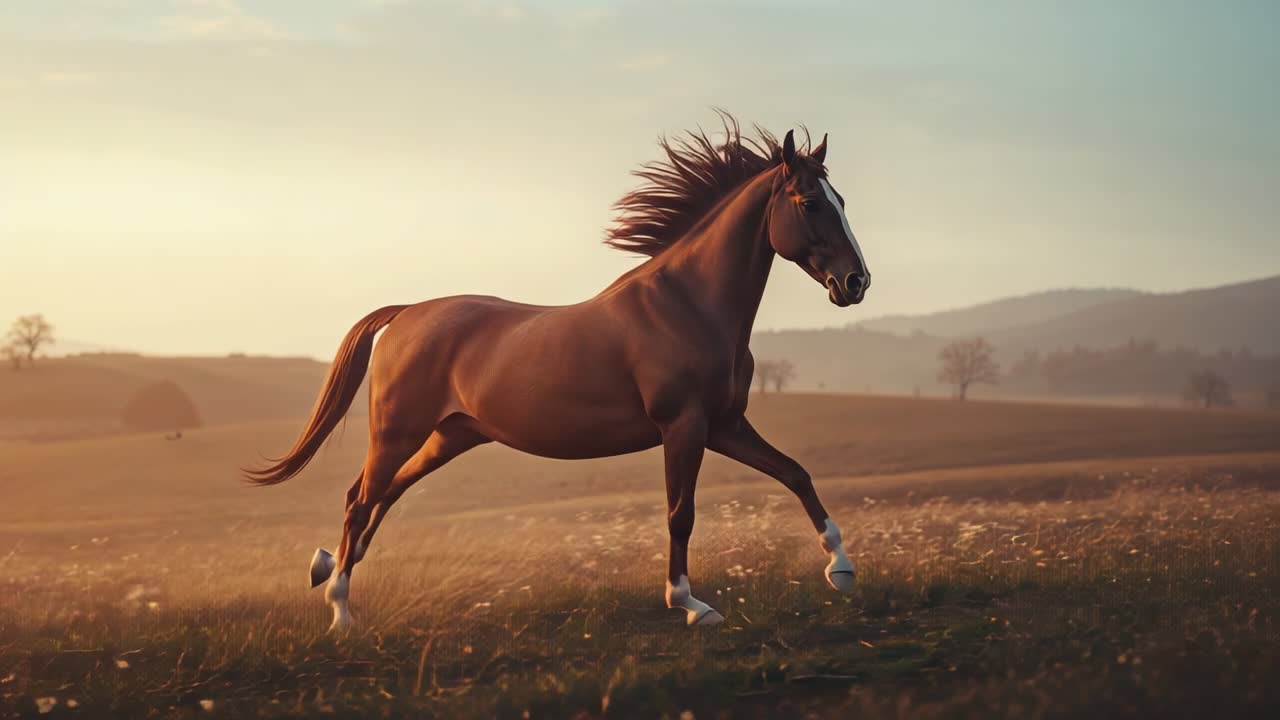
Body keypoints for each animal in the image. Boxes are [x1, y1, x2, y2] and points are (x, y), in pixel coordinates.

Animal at [245, 116, 871, 630]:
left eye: (841, 199)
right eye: (810, 202)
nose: (856, 283)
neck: (686, 305)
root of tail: (406, 313)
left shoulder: (724, 425)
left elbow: (796, 475)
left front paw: (840, 569)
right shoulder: (684, 427)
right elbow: (681, 513)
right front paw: (691, 604)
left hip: (450, 435)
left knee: (384, 496)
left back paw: (326, 568)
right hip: (398, 431)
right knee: (361, 499)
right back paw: (340, 611)